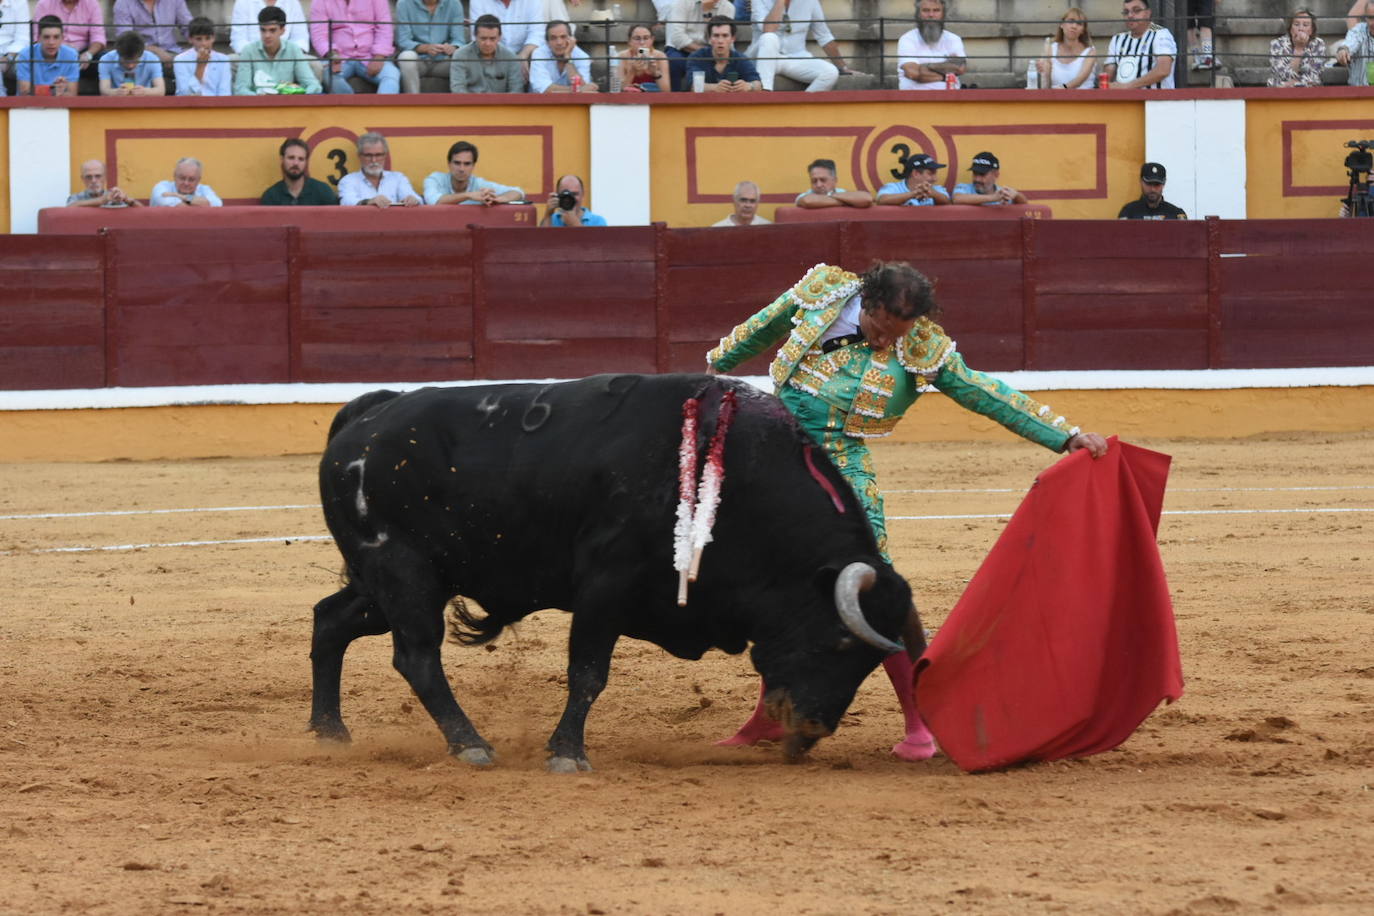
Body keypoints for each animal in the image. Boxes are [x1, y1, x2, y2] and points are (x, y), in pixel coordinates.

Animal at [314, 370, 923, 769]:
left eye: (871, 662)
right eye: (839, 643)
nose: (812, 730)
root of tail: (366, 417)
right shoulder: (605, 585)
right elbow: (588, 673)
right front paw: (566, 754)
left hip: (394, 582)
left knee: (330, 620)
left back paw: (329, 732)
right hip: (404, 573)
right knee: (417, 657)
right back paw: (471, 745)